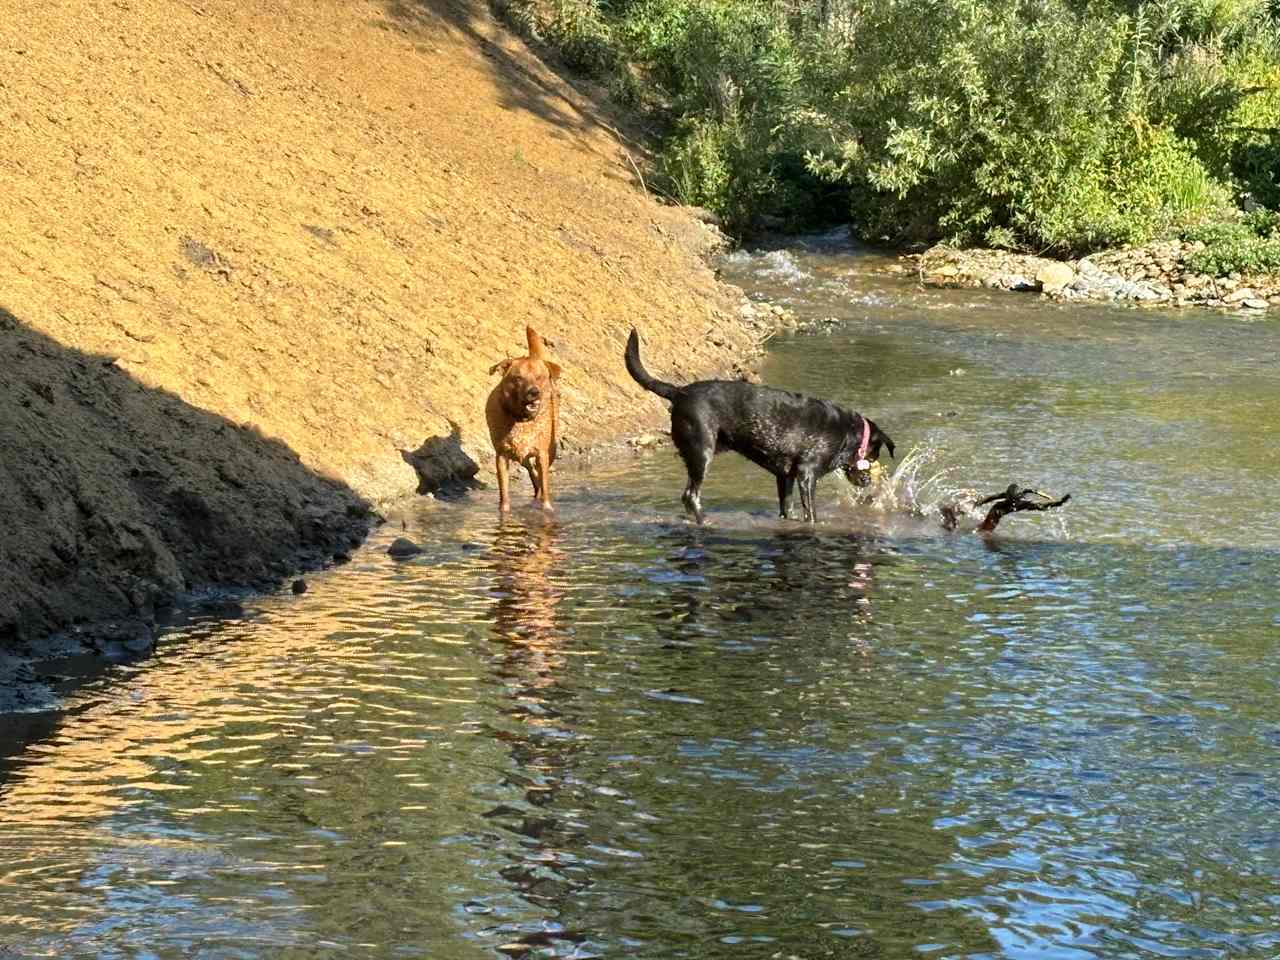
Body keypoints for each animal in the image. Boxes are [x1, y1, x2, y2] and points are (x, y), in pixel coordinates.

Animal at [483, 330, 560, 512]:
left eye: (539, 377)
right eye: (518, 378)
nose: (534, 392)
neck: (521, 420)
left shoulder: (542, 453)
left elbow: (545, 485)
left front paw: (546, 508)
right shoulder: (501, 456)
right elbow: (504, 491)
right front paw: (504, 511)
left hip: (551, 449)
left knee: (539, 475)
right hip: (521, 455)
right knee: (529, 468)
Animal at [624, 330, 896, 527]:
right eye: (874, 456)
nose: (867, 480)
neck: (848, 434)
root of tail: (679, 392)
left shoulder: (785, 476)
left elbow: (787, 508)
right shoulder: (807, 474)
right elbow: (811, 514)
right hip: (702, 452)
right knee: (690, 496)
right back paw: (706, 522)